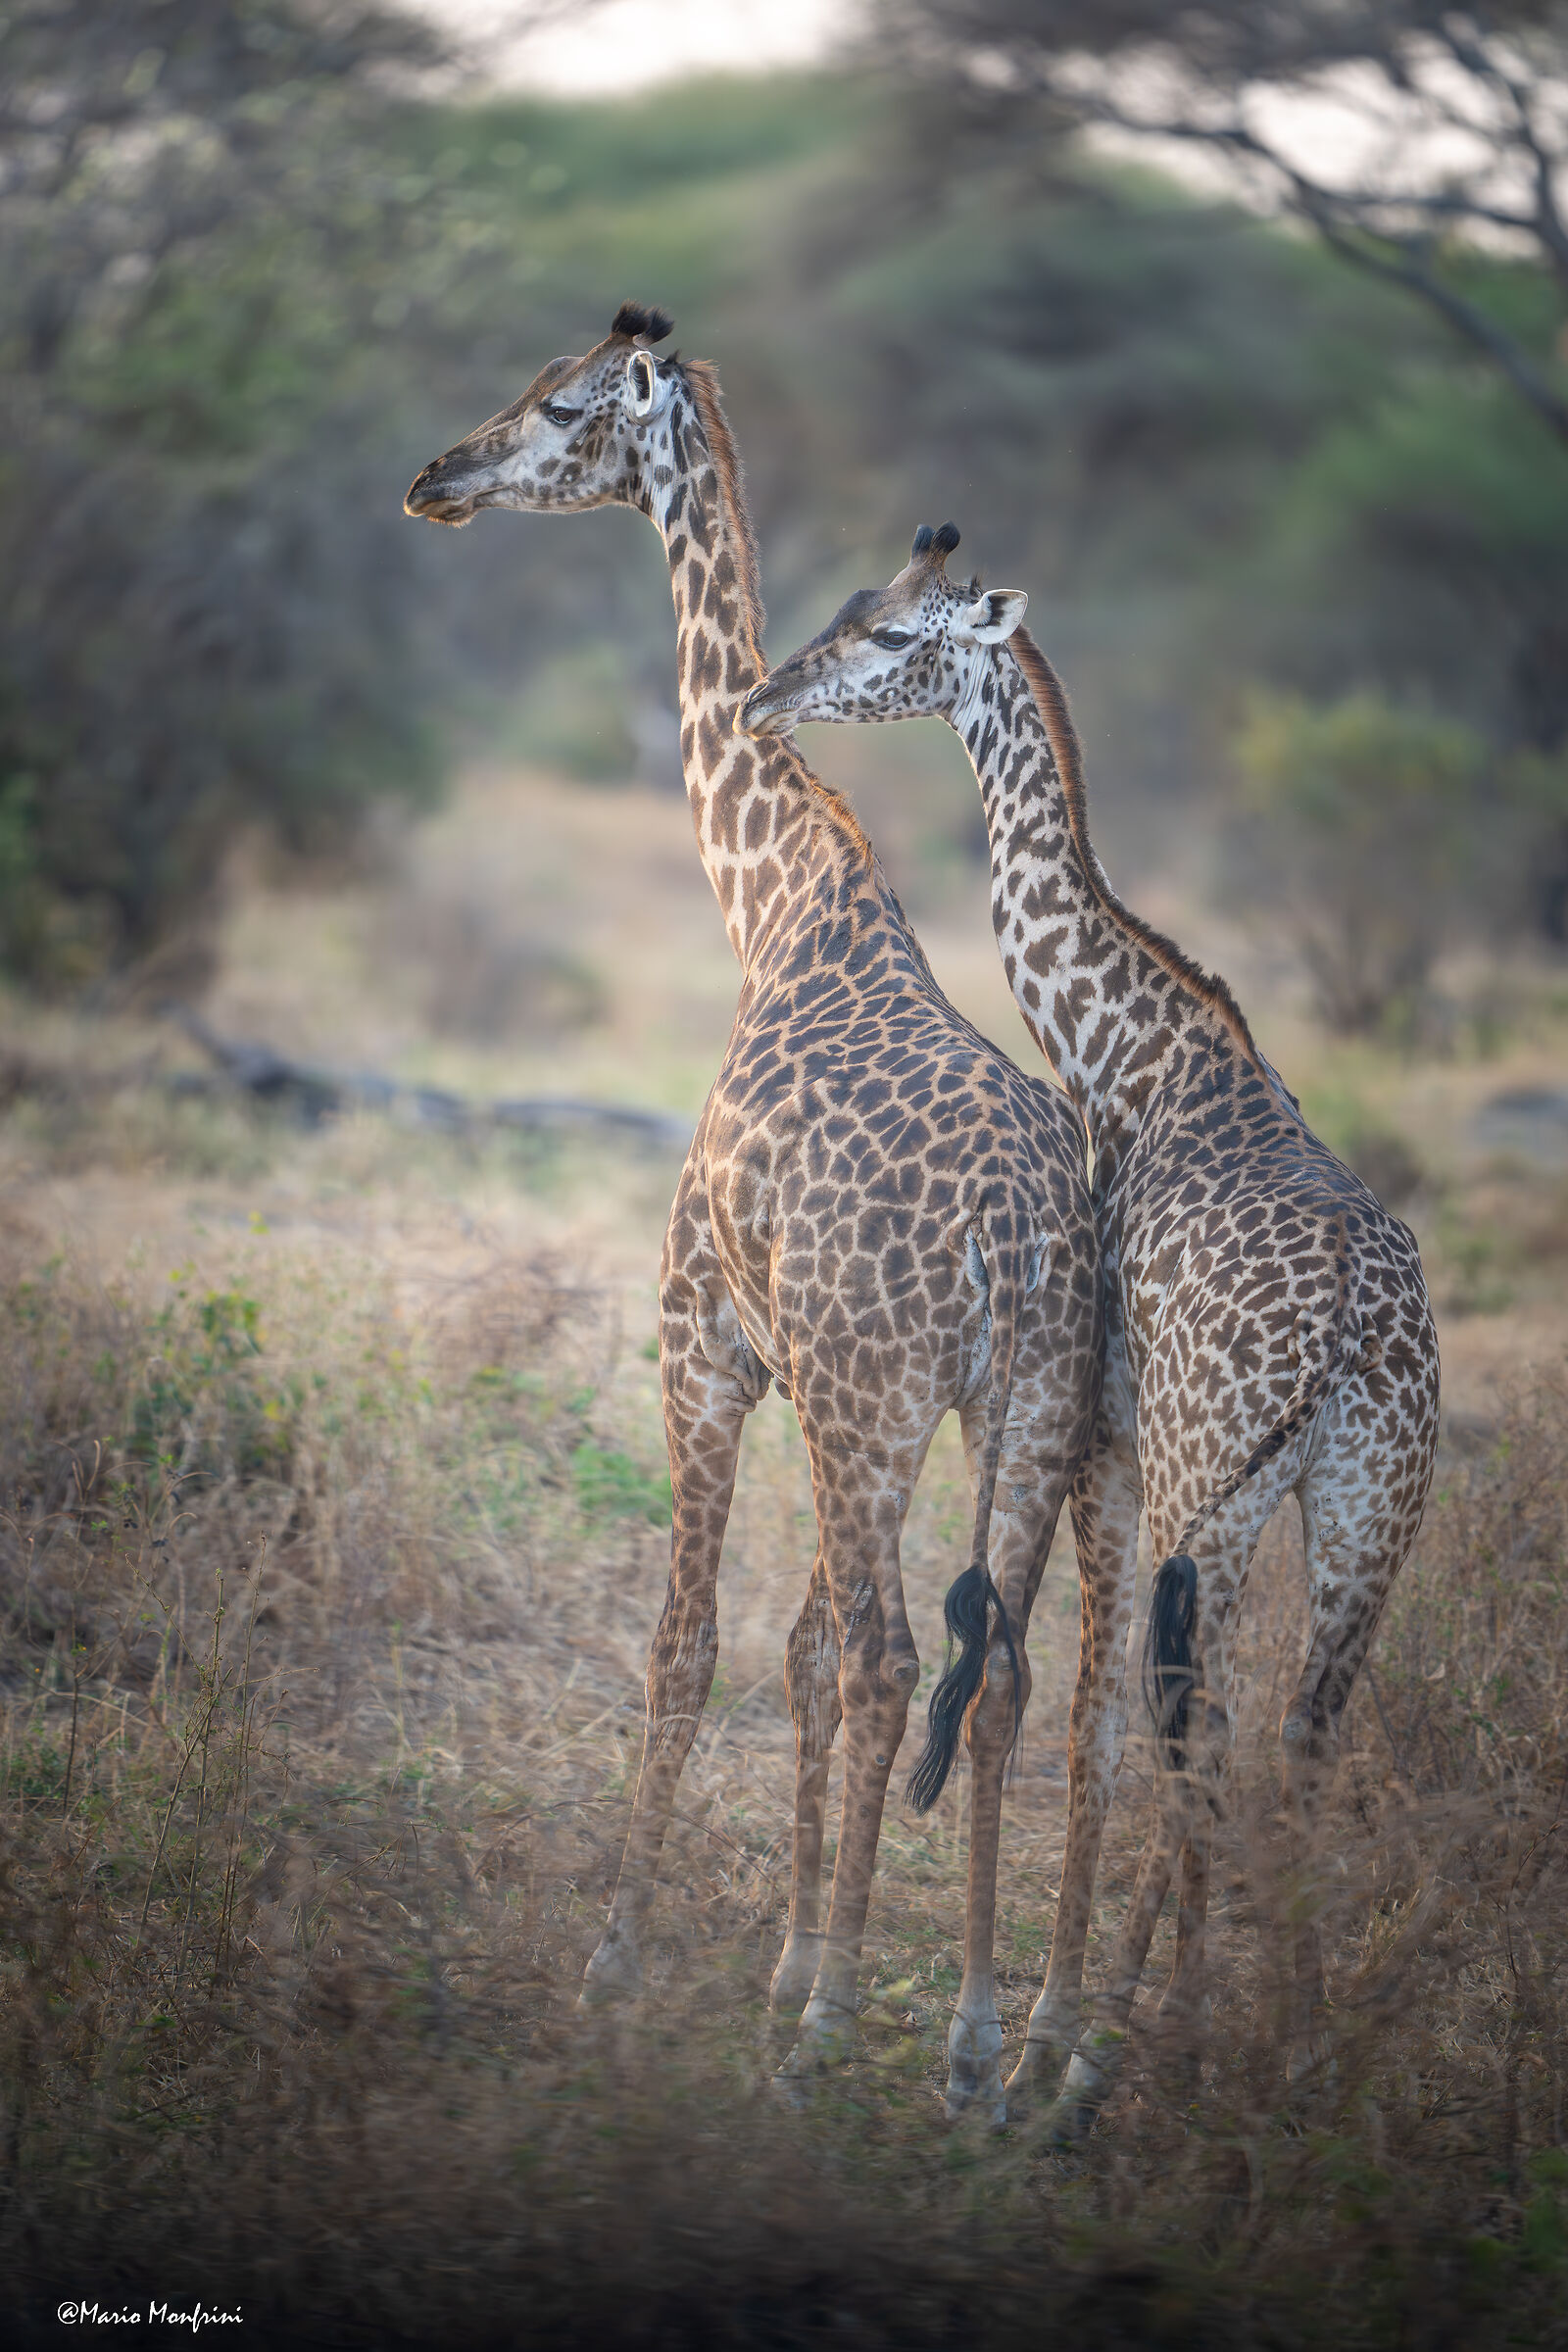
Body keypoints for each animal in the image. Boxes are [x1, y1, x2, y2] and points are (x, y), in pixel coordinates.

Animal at [405, 318, 1102, 2118]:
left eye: (560, 408)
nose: (437, 478)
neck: (778, 897)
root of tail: (1016, 1229)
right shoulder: (809, 1380)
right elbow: (789, 1653)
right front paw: (783, 1956)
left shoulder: (701, 1340)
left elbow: (690, 1643)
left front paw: (624, 1964)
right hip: (1021, 1412)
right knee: (990, 1668)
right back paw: (970, 2040)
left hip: (878, 1402)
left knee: (887, 1660)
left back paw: (840, 2032)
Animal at [740, 521, 1441, 2136]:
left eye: (891, 637)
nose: (767, 694)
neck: (1128, 1051)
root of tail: (1351, 1339)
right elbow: (1106, 1714)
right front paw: (1082, 2024)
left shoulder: (1109, 1445)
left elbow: (1088, 1716)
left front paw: (1057, 2040)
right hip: (1368, 1510)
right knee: (1300, 1730)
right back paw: (1299, 2046)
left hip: (1212, 1485)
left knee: (1204, 1723)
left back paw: (1131, 2056)